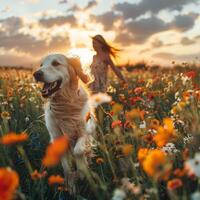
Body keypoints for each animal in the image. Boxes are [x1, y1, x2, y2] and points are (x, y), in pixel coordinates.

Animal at [33, 53, 110, 192]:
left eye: (56, 63)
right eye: (41, 65)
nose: (36, 74)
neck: (66, 103)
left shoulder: (85, 132)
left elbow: (78, 151)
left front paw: (81, 170)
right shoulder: (57, 136)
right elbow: (66, 167)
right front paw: (71, 182)